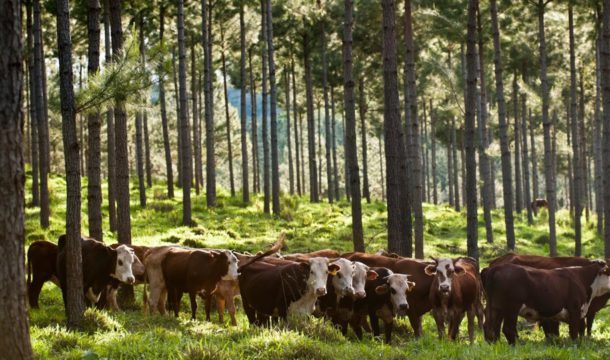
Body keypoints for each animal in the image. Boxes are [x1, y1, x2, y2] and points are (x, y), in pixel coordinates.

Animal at [480, 260, 608, 344]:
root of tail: (497, 267)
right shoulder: (575, 309)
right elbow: (574, 332)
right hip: (511, 307)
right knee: (507, 328)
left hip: (495, 307)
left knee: (491, 326)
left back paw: (495, 344)